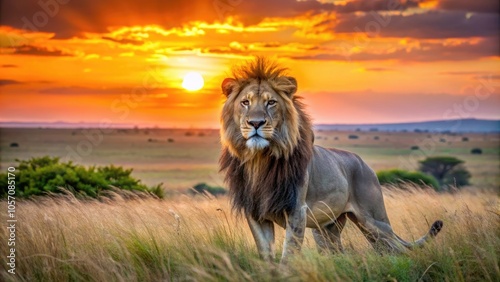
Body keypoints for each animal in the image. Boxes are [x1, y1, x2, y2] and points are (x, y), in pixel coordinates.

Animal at [219, 56, 442, 264]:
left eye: (271, 102)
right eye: (245, 102)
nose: (256, 123)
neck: (260, 160)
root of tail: (365, 164)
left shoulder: (297, 210)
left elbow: (288, 254)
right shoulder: (255, 212)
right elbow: (267, 255)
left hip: (374, 222)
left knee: (397, 249)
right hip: (327, 228)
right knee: (340, 253)